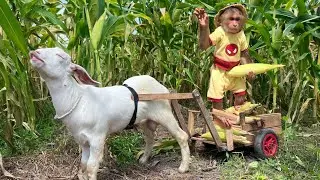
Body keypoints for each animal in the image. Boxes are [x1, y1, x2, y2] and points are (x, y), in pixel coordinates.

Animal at [29, 47, 190, 180]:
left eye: (60, 55)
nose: (34, 53)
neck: (78, 99)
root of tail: (161, 86)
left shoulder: (97, 138)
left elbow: (91, 166)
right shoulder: (82, 140)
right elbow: (83, 164)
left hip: (164, 113)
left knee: (182, 136)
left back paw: (183, 167)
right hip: (144, 120)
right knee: (150, 138)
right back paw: (144, 159)